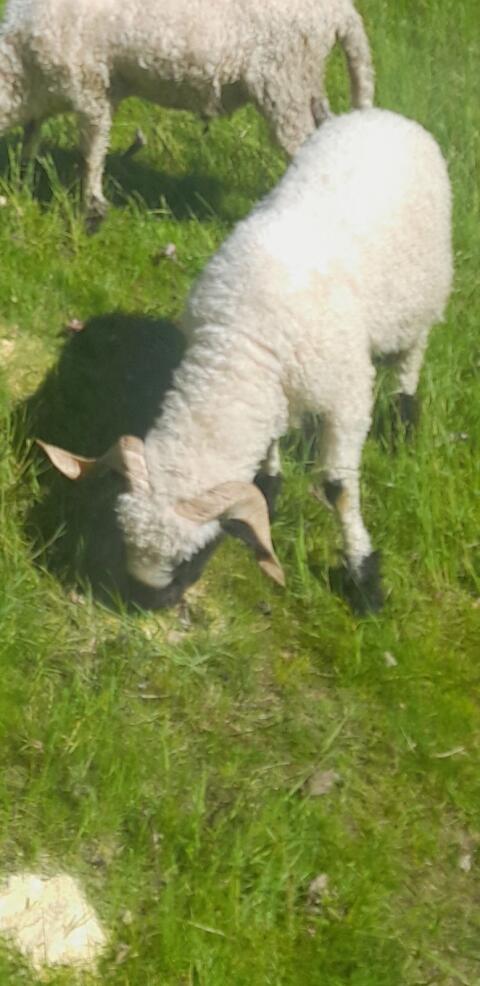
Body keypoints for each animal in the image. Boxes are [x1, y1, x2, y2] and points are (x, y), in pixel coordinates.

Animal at [0, 0, 374, 220]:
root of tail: (341, 12)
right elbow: (31, 138)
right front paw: (21, 178)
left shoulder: (91, 88)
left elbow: (91, 153)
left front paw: (91, 203)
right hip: (306, 81)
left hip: (284, 82)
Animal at [38, 108, 453, 611]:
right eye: (127, 541)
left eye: (190, 557)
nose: (144, 602)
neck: (244, 342)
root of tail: (380, 114)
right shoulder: (272, 390)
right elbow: (271, 441)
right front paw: (270, 488)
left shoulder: (347, 397)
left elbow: (337, 488)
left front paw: (364, 578)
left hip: (423, 296)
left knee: (410, 360)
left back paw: (403, 422)